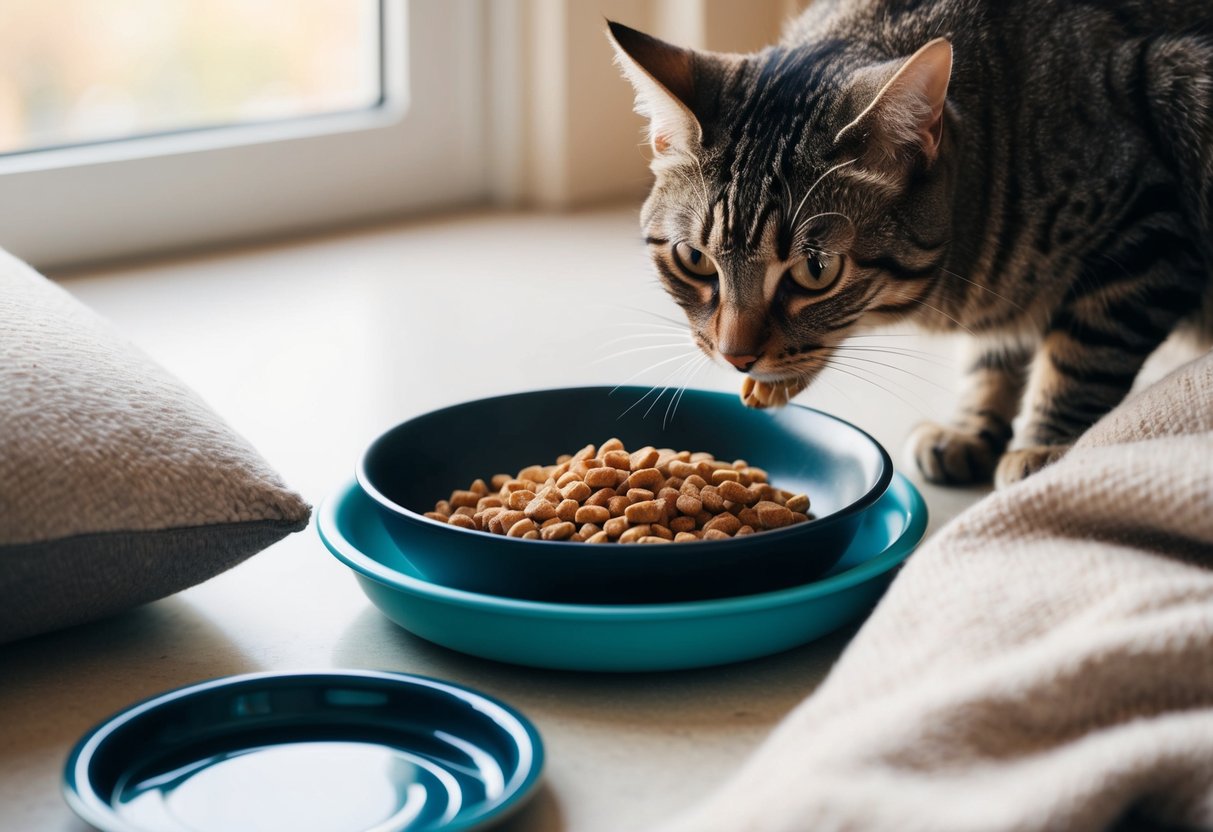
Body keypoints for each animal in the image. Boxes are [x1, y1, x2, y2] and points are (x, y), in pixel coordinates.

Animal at [606, 3, 1213, 489]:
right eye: (693, 260)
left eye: (816, 270)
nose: (736, 357)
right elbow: (992, 355)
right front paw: (970, 429)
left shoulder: (1146, 233)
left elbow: (1082, 357)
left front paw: (1044, 450)